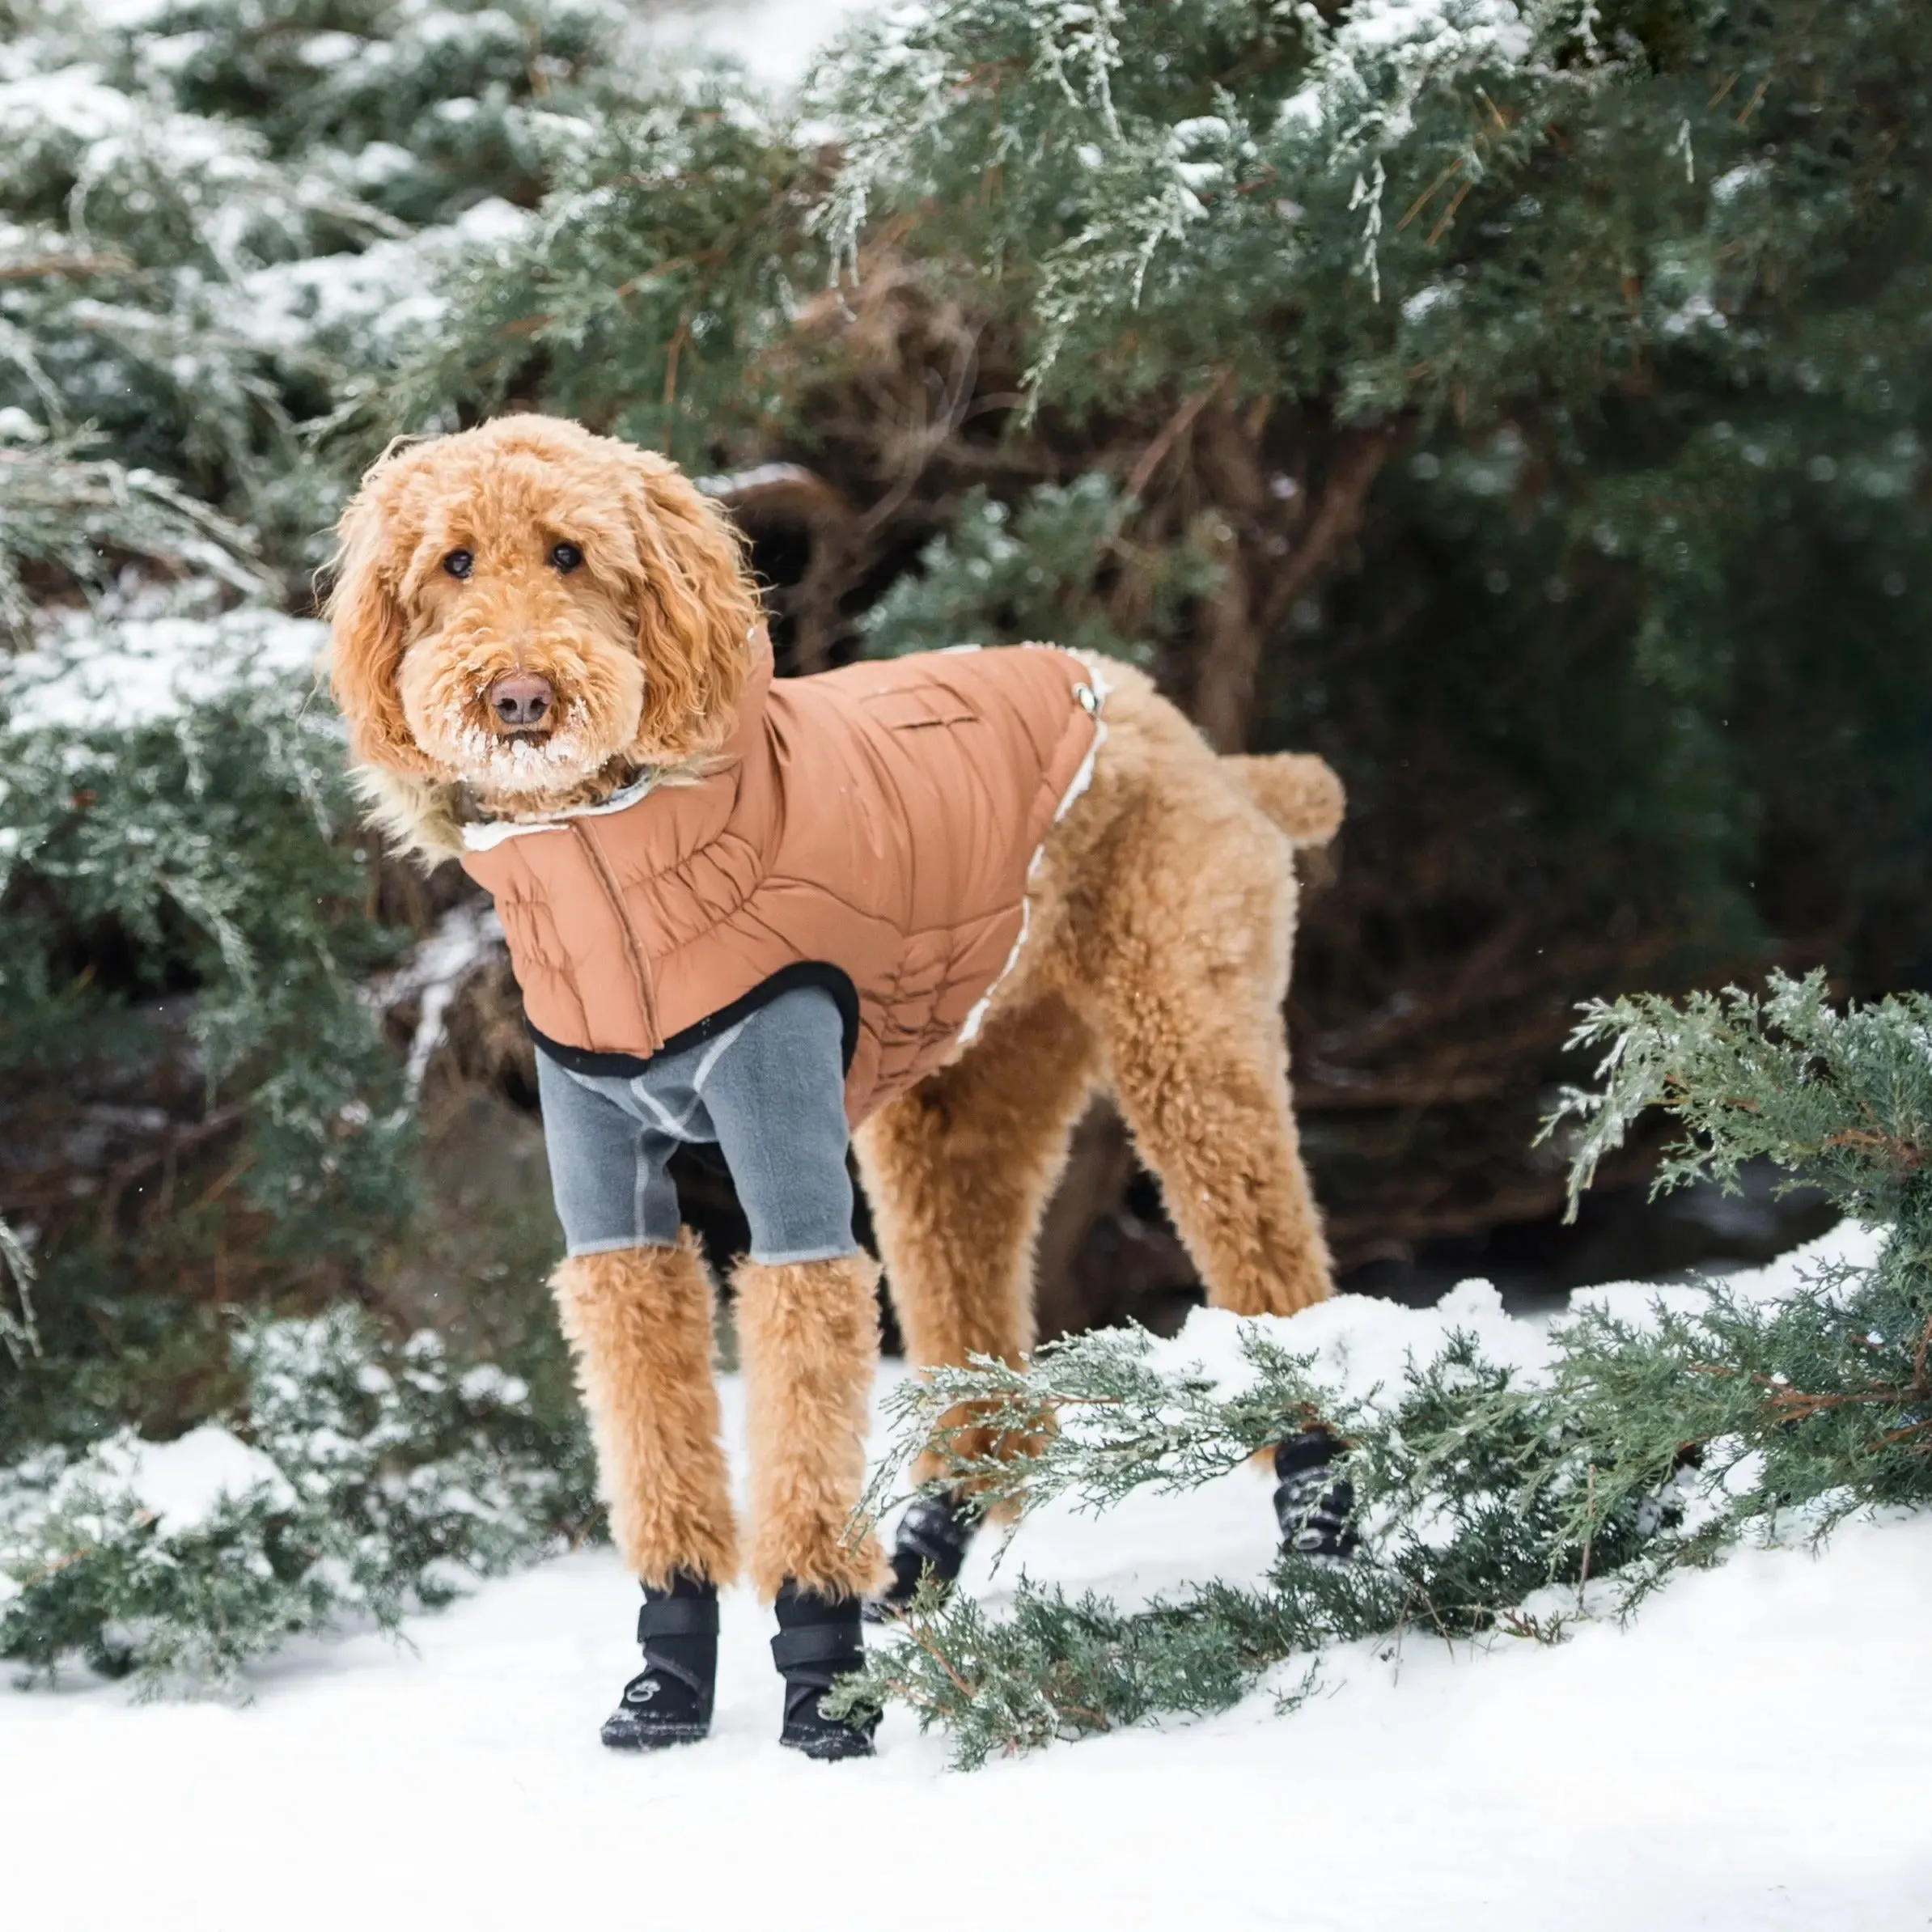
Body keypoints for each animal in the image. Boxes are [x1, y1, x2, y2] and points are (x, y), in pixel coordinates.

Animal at [328, 415, 1345, 1761]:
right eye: (452, 563)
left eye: (570, 553)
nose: (519, 697)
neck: (612, 869)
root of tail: (1197, 743)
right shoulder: (611, 1203)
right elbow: (652, 1419)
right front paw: (669, 1676)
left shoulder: (789, 1172)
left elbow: (804, 1400)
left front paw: (820, 1675)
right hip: (955, 1112)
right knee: (988, 1370)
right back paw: (921, 1554)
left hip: (1189, 1039)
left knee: (1280, 1276)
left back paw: (1322, 1524)